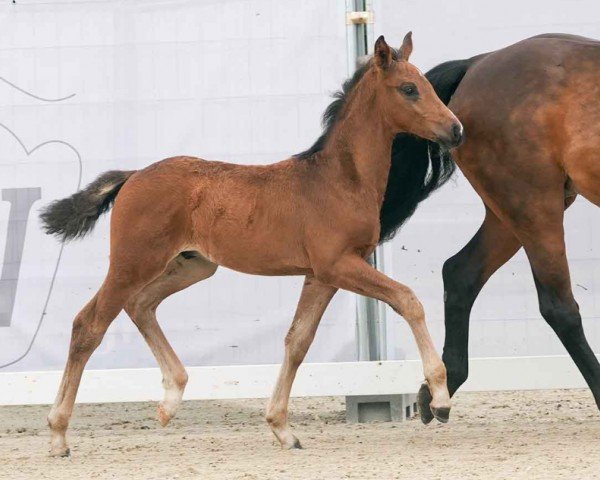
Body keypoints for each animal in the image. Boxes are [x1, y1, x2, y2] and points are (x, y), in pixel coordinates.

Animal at [41, 34, 464, 458]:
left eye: (426, 85)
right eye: (409, 89)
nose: (456, 129)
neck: (339, 179)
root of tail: (132, 177)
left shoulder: (321, 275)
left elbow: (297, 341)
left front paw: (282, 428)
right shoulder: (338, 265)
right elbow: (407, 299)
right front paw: (440, 399)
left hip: (193, 265)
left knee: (140, 304)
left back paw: (169, 401)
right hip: (133, 263)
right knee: (89, 325)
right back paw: (59, 434)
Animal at [382, 33, 596, 422]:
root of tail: (479, 62)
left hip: (512, 211)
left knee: (460, 271)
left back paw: (440, 389)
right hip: (531, 200)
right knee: (559, 307)